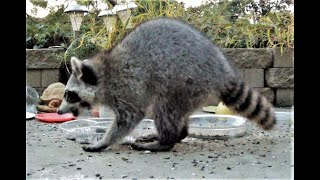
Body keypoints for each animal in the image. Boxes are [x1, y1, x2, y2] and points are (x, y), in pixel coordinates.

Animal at [57, 17, 276, 152]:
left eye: (69, 94)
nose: (59, 111)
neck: (103, 74)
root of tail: (222, 71)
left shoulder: (127, 87)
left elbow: (129, 118)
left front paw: (104, 142)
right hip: (190, 90)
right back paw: (177, 135)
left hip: (185, 81)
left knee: (164, 109)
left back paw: (166, 141)